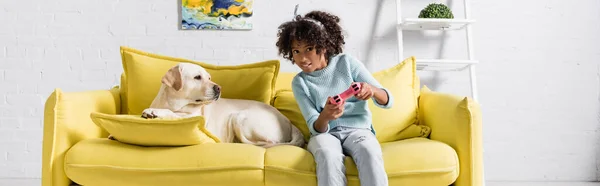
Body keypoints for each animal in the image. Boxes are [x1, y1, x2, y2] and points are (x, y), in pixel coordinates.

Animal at [137, 62, 304, 148]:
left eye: (209, 77)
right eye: (197, 77)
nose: (219, 88)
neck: (172, 102)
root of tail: (289, 122)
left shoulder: (192, 117)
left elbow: (172, 114)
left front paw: (154, 112)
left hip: (239, 117)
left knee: (270, 142)